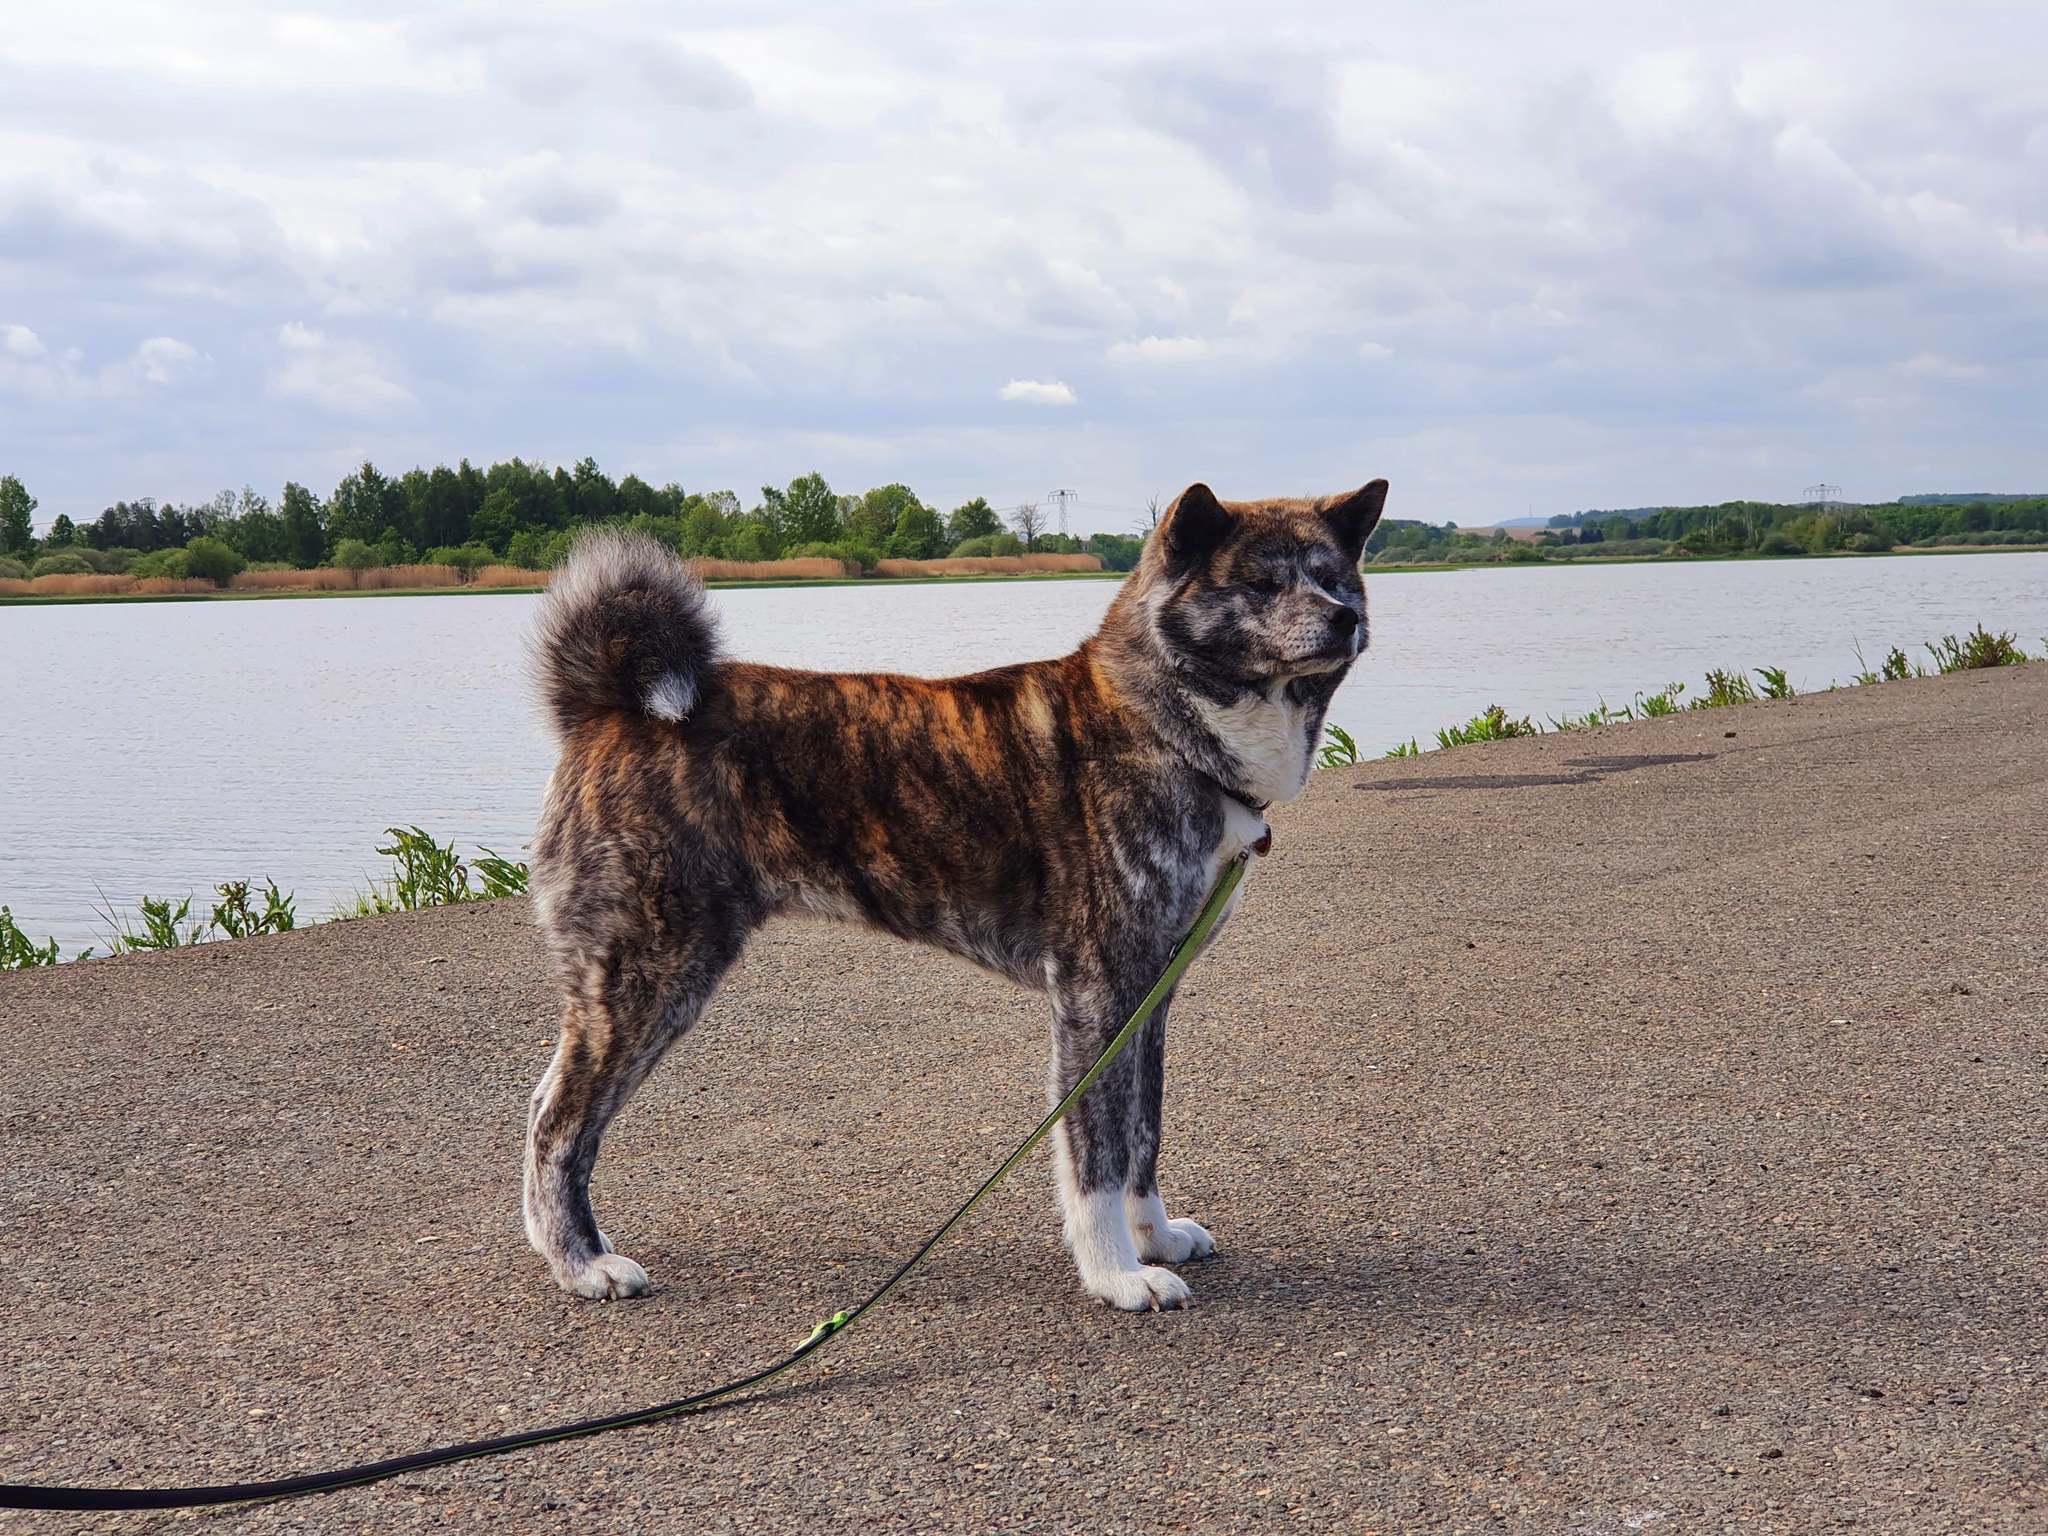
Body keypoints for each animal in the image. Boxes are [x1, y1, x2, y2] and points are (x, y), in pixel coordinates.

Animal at [522, 478, 1386, 1310]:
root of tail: (605, 705)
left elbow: (1144, 1136)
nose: (1343, 618)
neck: (1156, 724)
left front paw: (1157, 1238)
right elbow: (1097, 1159)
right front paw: (1115, 1275)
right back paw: (582, 1264)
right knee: (560, 1126)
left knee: (540, 1107)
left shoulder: (1150, 997)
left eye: (1334, 577)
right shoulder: (1096, 997)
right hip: (651, 976)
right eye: (1261, 583)